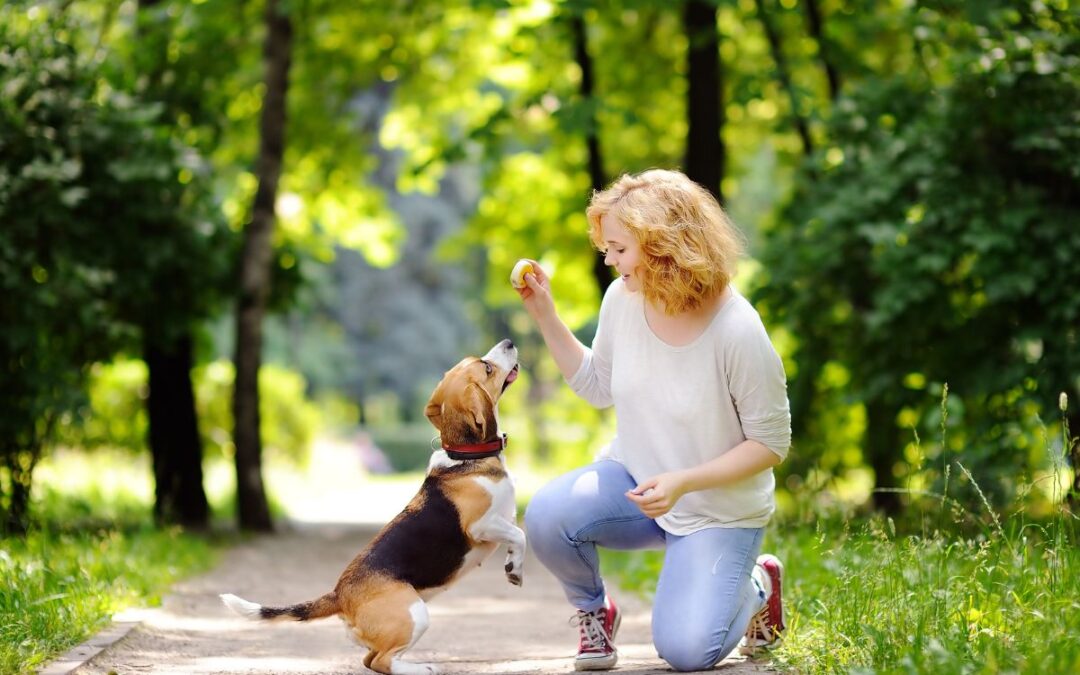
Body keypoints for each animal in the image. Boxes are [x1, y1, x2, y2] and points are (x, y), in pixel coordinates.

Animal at [219, 339, 522, 673]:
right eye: (487, 368)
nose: (508, 342)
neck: (466, 456)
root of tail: (339, 595)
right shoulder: (481, 526)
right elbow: (520, 534)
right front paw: (516, 568)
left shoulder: (504, 520)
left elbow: (516, 535)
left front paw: (512, 566)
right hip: (415, 614)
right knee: (381, 661)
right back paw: (421, 668)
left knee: (370, 660)